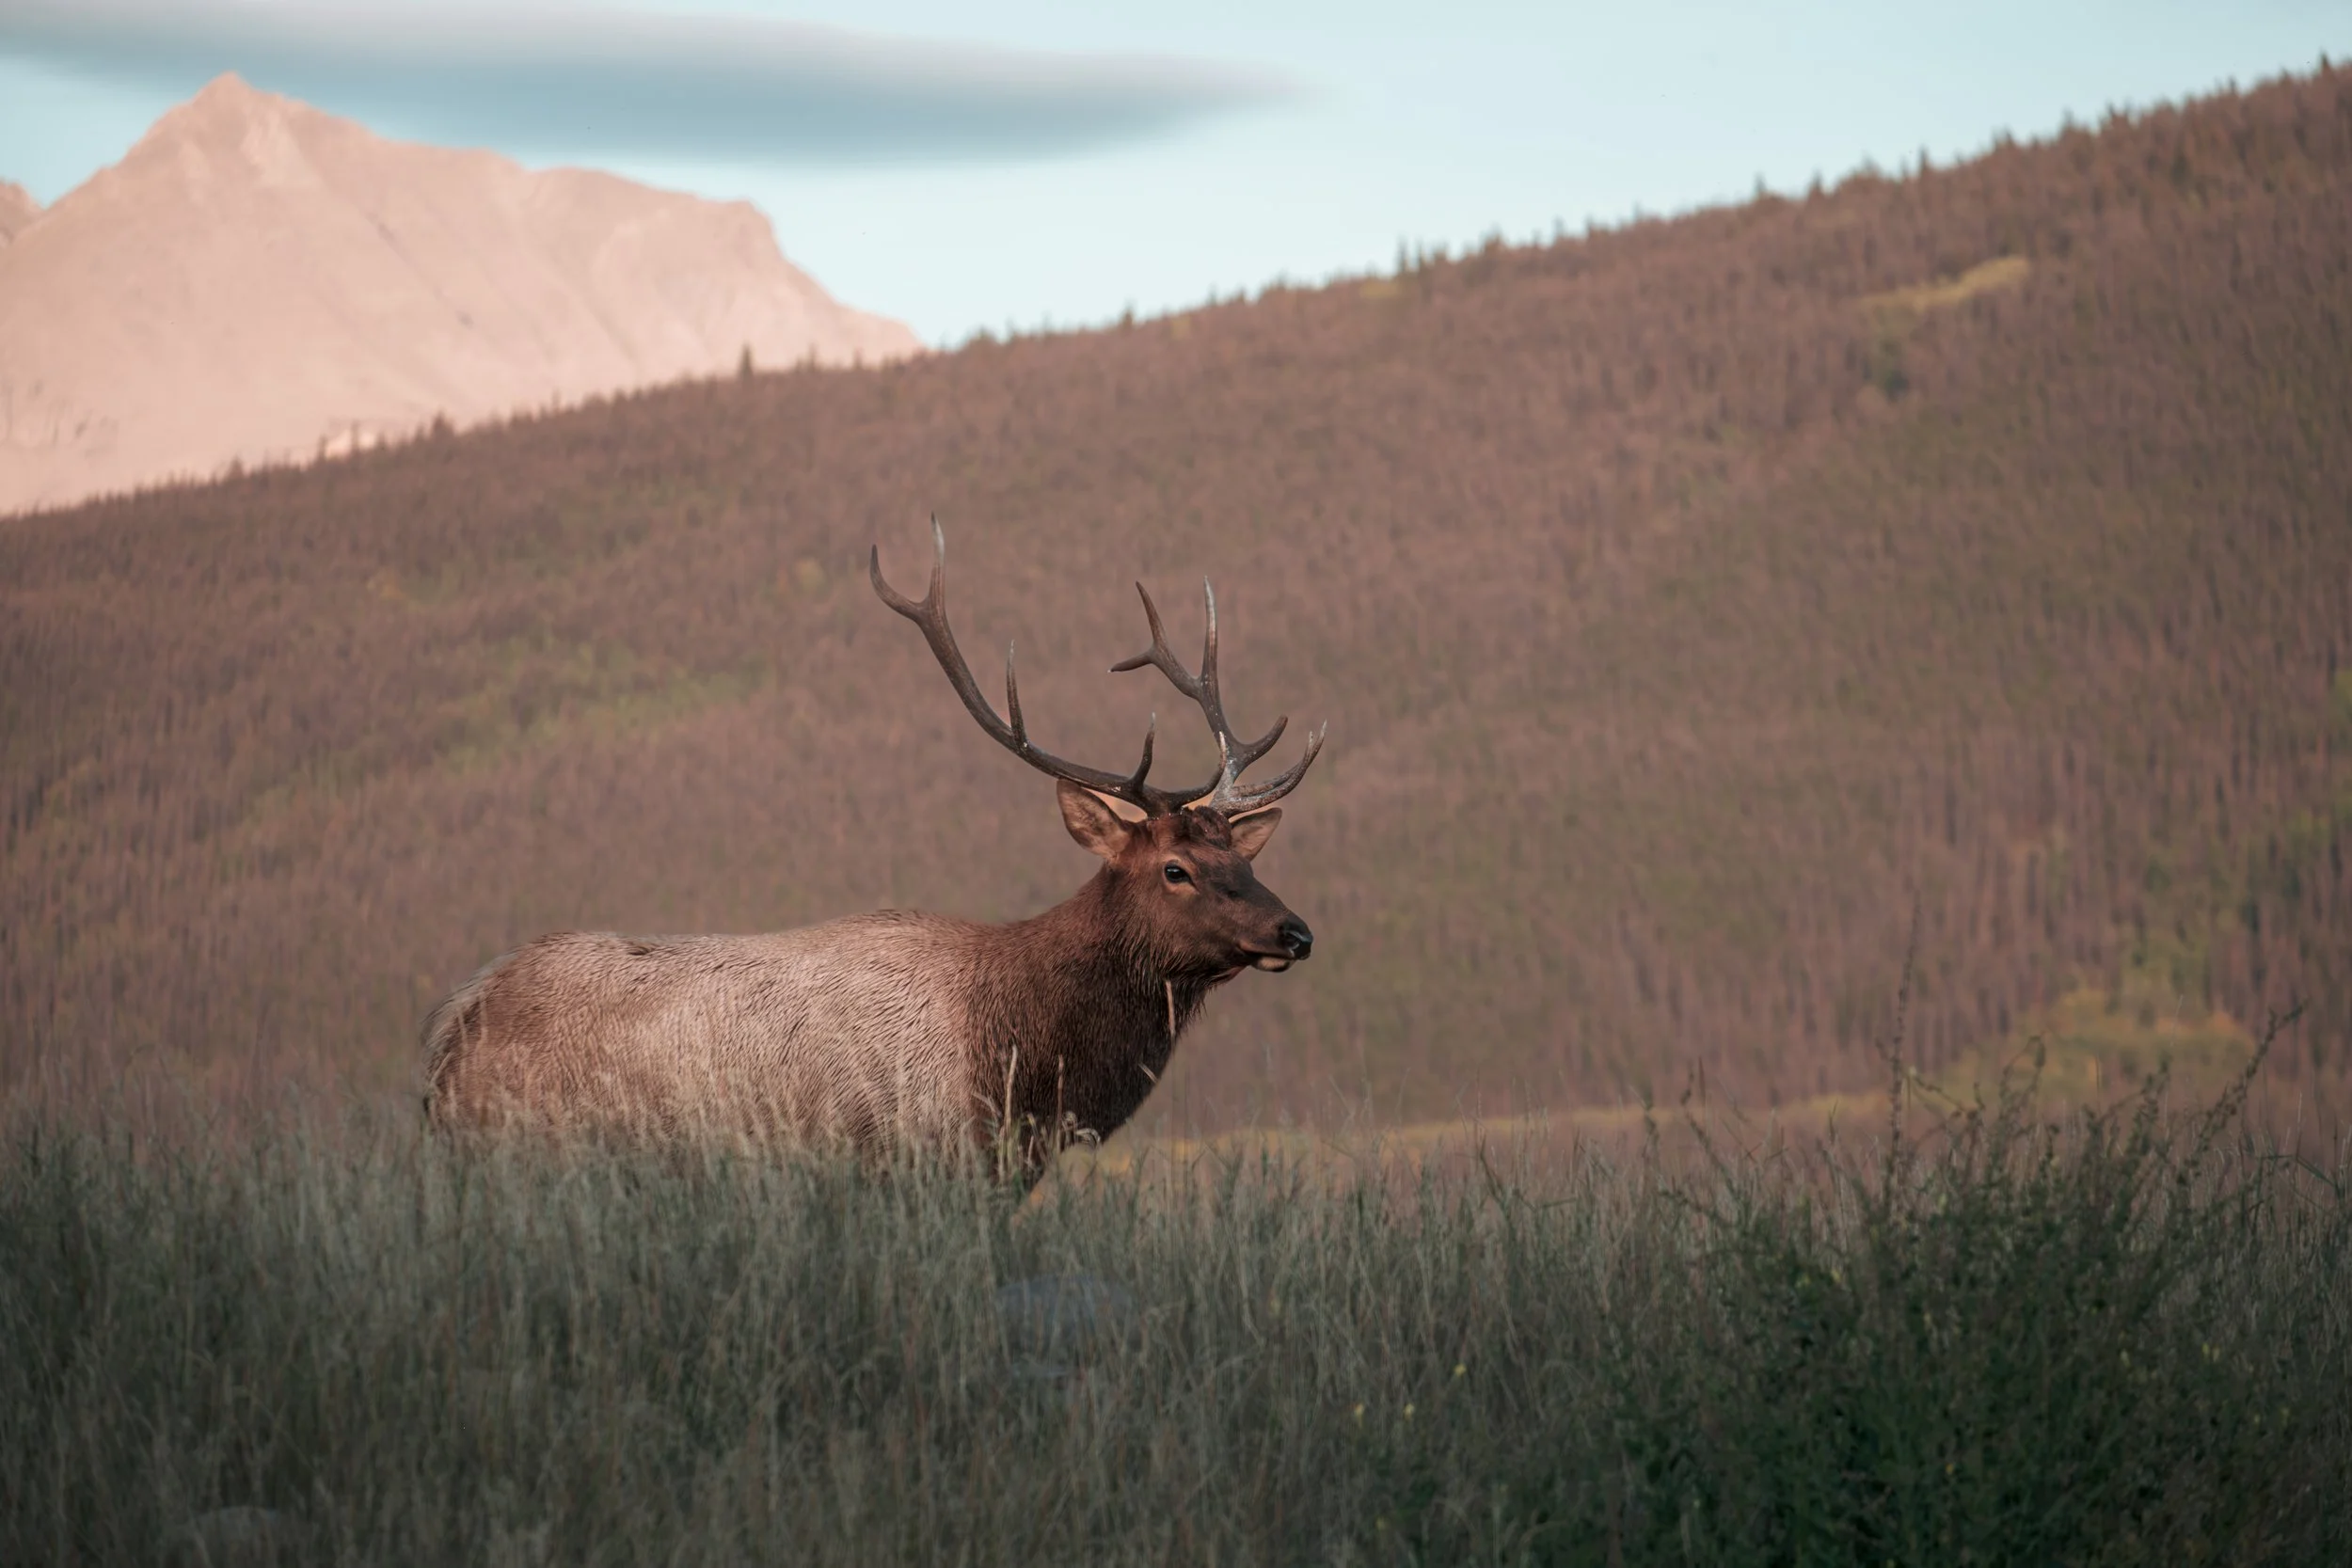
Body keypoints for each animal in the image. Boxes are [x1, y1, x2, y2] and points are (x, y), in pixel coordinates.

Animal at [422, 520, 1323, 1179]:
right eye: (1176, 869)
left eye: (1247, 861)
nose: (1296, 932)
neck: (1023, 1071)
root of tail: (446, 1033)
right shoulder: (912, 1165)